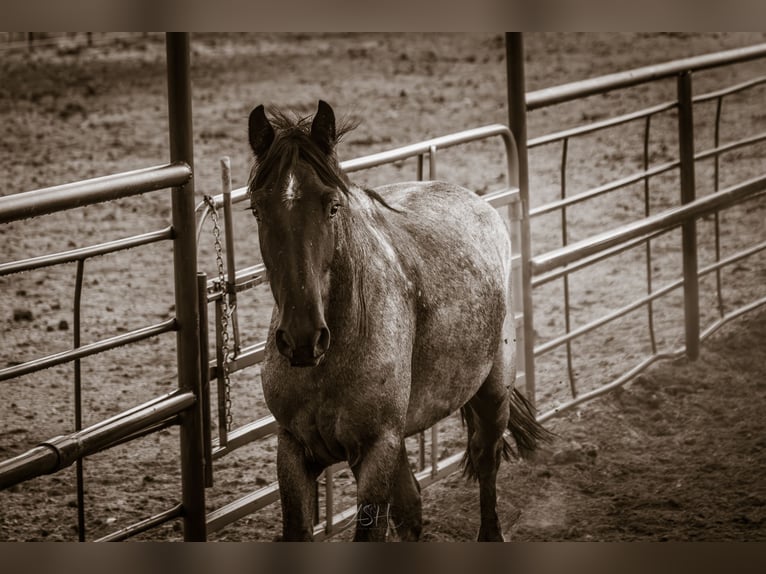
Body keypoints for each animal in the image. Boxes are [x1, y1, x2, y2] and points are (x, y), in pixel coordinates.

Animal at [247, 100, 549, 541]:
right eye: (257, 209)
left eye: (332, 205)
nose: (303, 338)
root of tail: (478, 204)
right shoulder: (293, 449)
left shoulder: (377, 449)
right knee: (411, 506)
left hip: (492, 394)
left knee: (486, 459)